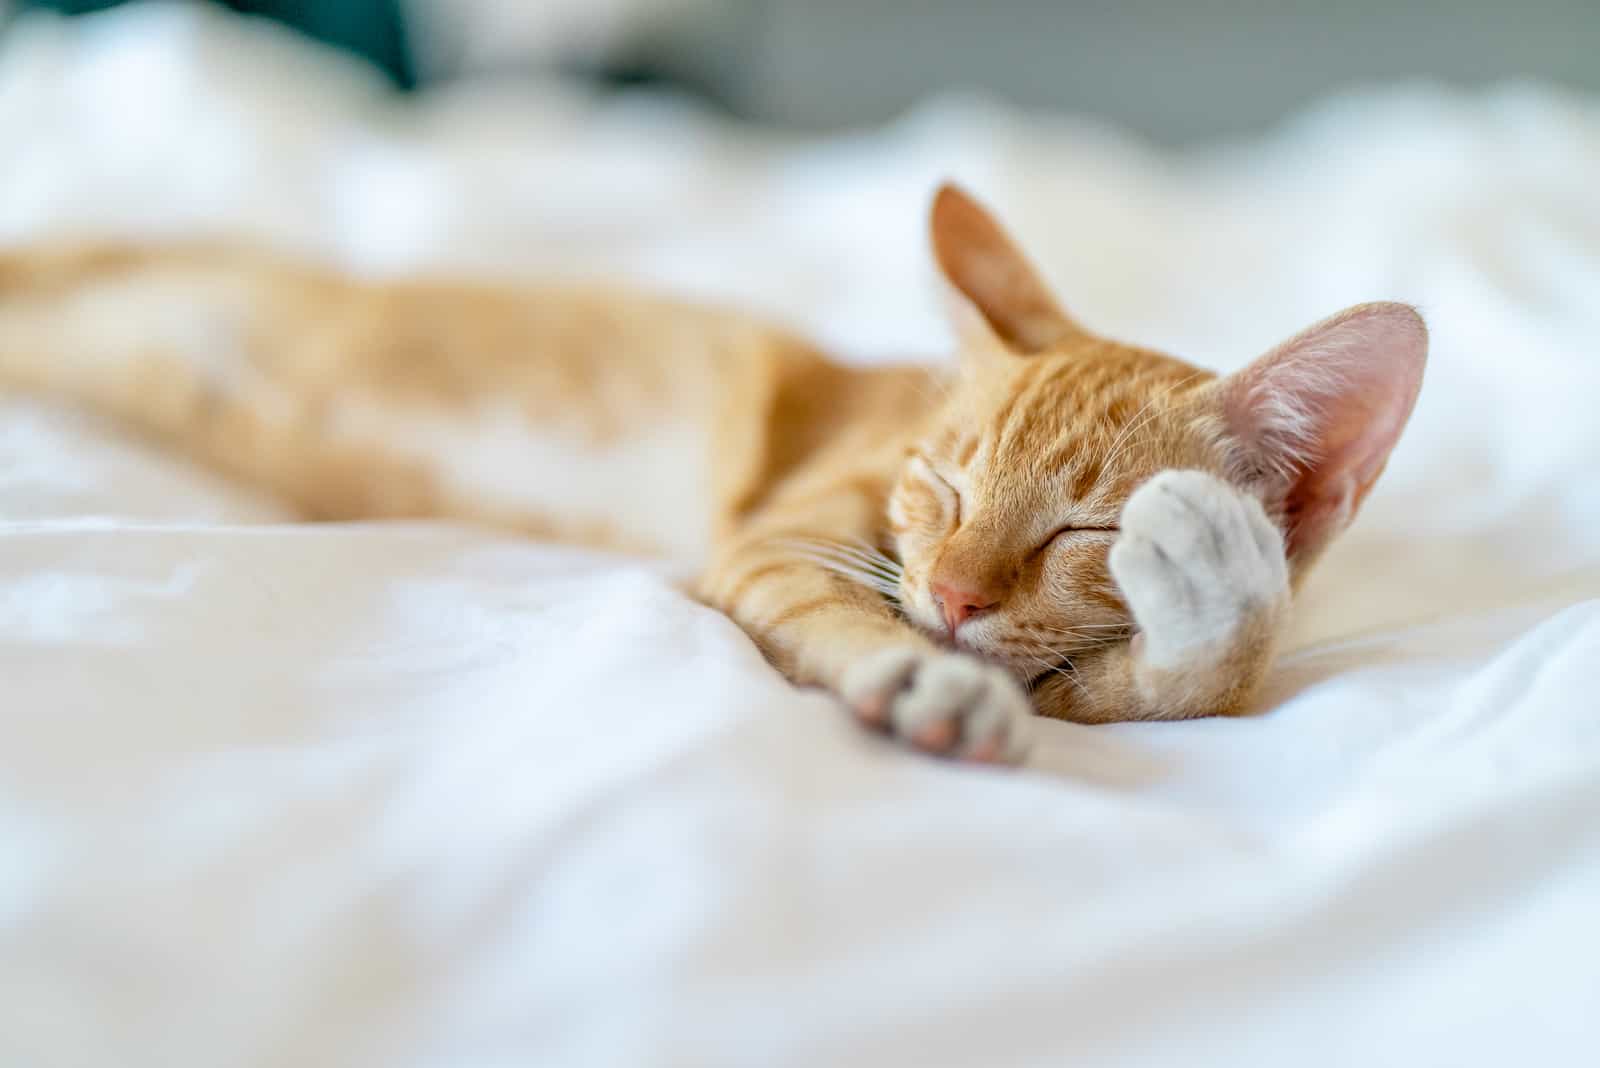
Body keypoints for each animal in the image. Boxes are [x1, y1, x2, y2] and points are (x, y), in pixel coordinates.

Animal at [0, 187, 1427, 764]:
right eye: (946, 486)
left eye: (1082, 532)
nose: (954, 601)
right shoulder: (777, 542)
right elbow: (840, 612)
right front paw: (915, 674)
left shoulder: (1086, 690)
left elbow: (1186, 687)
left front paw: (1217, 589)